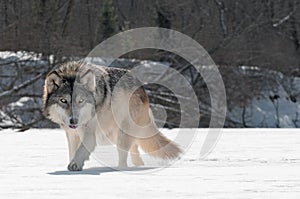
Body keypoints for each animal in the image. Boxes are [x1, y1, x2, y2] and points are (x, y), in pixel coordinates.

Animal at [43, 61, 182, 171]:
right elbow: (73, 151)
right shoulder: (72, 134)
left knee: (124, 156)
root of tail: (142, 87)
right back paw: (138, 165)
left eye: (81, 101)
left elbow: (81, 150)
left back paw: (121, 169)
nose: (73, 120)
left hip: (122, 135)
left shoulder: (89, 133)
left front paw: (75, 165)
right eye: (63, 100)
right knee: (135, 150)